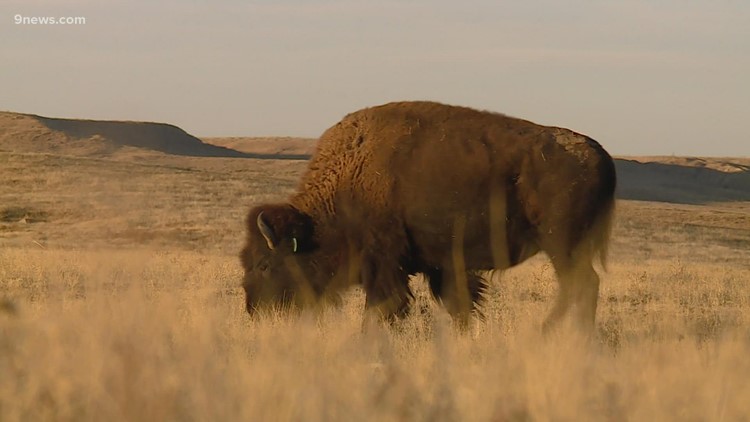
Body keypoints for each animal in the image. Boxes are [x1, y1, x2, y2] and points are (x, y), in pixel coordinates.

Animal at [241, 100, 616, 332]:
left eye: (264, 264)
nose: (254, 310)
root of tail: (598, 153)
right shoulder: (444, 266)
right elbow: (460, 305)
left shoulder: (385, 265)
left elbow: (382, 309)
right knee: (579, 287)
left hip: (562, 244)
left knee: (581, 286)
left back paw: (554, 334)